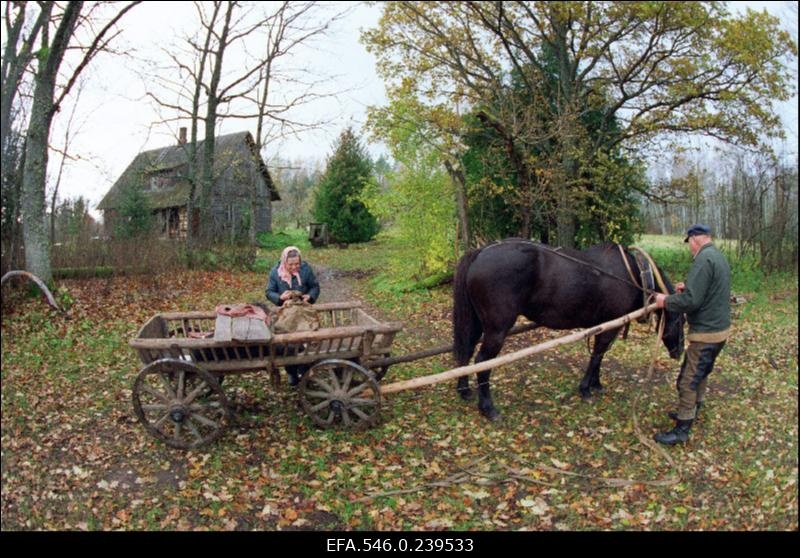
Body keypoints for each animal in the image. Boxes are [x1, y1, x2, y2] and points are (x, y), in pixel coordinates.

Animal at [454, 240, 684, 420]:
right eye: (681, 320)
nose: (679, 352)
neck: (634, 275)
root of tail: (480, 252)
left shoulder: (606, 324)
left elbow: (599, 355)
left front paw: (596, 384)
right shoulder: (610, 326)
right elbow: (597, 355)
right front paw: (586, 388)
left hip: (477, 323)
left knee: (466, 351)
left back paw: (464, 391)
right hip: (496, 330)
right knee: (482, 362)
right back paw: (488, 408)